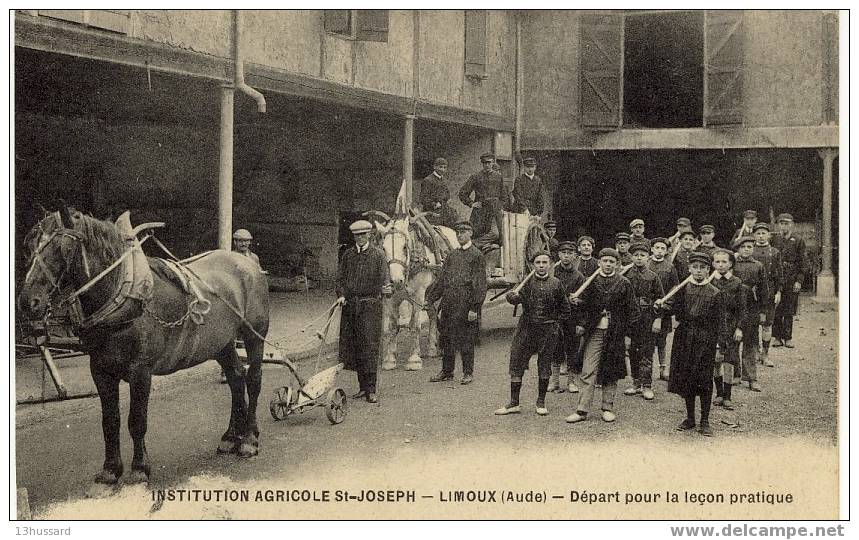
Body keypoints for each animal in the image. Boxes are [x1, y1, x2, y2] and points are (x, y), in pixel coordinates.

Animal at [19, 207, 268, 486]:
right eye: (29, 245)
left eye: (64, 247)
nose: (28, 302)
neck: (124, 292)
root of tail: (247, 263)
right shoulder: (101, 370)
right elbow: (110, 420)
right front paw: (111, 469)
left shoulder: (141, 372)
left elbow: (136, 421)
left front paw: (139, 469)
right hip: (221, 343)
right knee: (236, 378)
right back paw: (231, 437)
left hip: (254, 336)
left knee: (253, 380)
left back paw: (249, 439)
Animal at [372, 211, 460, 372]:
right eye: (384, 248)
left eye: (404, 247)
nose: (395, 281)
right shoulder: (390, 298)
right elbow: (392, 326)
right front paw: (390, 359)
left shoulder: (418, 295)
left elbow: (414, 325)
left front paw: (414, 360)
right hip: (431, 291)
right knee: (433, 315)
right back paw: (432, 348)